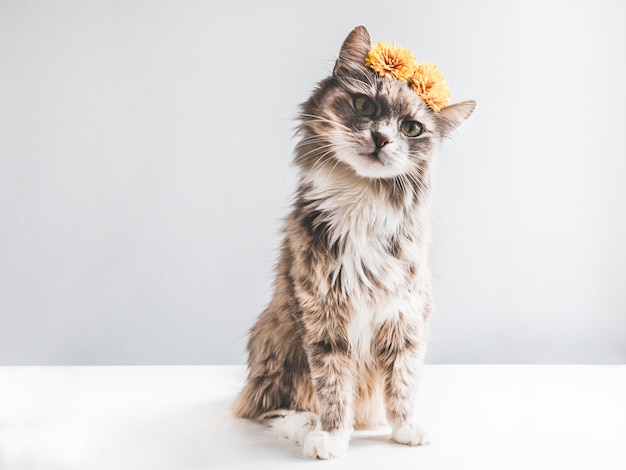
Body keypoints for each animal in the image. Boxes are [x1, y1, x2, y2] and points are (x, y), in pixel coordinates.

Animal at [233, 24, 472, 458]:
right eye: (364, 106)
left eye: (411, 128)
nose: (381, 139)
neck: (363, 198)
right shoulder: (323, 312)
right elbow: (332, 385)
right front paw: (331, 436)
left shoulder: (405, 311)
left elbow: (403, 380)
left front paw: (405, 428)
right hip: (279, 342)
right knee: (268, 405)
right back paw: (305, 426)